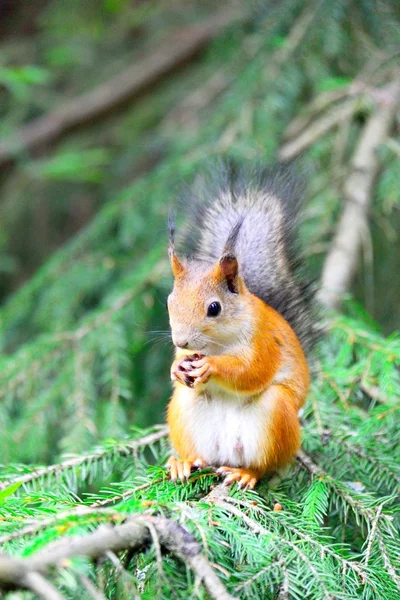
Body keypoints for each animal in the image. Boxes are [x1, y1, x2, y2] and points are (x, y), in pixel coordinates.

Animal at [165, 163, 312, 488]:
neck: (219, 345)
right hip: (184, 408)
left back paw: (245, 473)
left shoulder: (265, 341)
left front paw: (213, 367)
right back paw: (184, 462)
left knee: (264, 465)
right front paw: (177, 367)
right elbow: (179, 365)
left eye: (214, 308)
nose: (181, 341)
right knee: (196, 451)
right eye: (169, 301)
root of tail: (225, 454)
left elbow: (252, 371)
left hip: (275, 416)